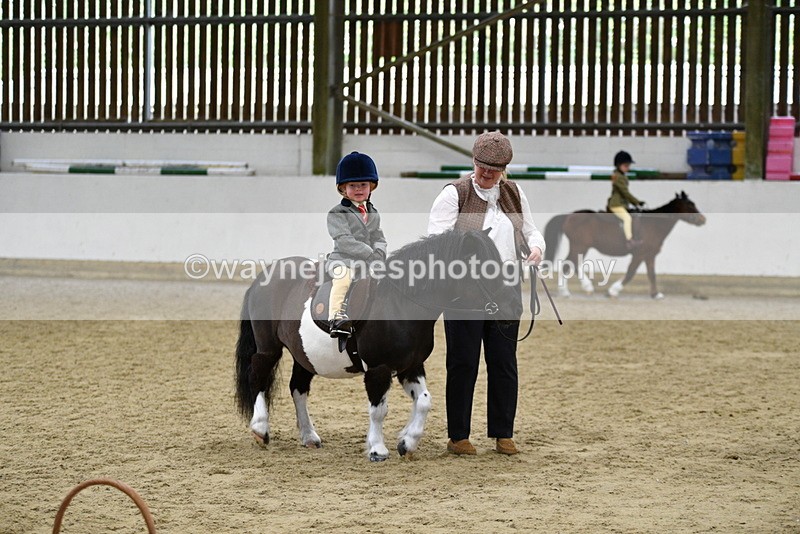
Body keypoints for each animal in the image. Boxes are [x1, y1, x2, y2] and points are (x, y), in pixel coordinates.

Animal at [234, 229, 520, 461]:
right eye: (484, 269)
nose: (513, 310)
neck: (400, 303)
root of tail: (263, 278)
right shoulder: (378, 369)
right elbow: (379, 410)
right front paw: (377, 449)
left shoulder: (411, 366)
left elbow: (424, 402)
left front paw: (407, 442)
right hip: (268, 348)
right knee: (258, 377)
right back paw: (260, 429)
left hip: (303, 355)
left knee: (298, 389)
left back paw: (309, 436)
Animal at [543, 191, 706, 299]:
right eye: (689, 205)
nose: (703, 219)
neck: (654, 224)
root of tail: (569, 215)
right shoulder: (640, 254)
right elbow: (630, 272)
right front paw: (613, 291)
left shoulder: (650, 255)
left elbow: (651, 274)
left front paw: (656, 294)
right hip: (580, 246)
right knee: (569, 264)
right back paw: (573, 290)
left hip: (580, 246)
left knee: (571, 264)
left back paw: (576, 289)